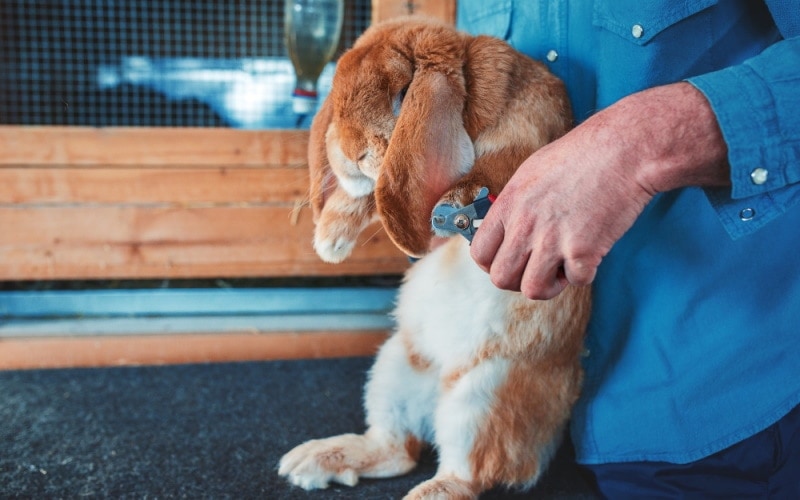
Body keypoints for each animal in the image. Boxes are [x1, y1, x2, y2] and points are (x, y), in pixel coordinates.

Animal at [278, 15, 592, 500]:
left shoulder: (527, 132)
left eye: (403, 94)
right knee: (395, 448)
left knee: (466, 471)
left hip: (480, 399)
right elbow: (368, 197)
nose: (349, 152)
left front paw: (456, 200)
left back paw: (429, 491)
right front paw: (330, 239)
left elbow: (502, 167)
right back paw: (316, 459)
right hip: (392, 371)